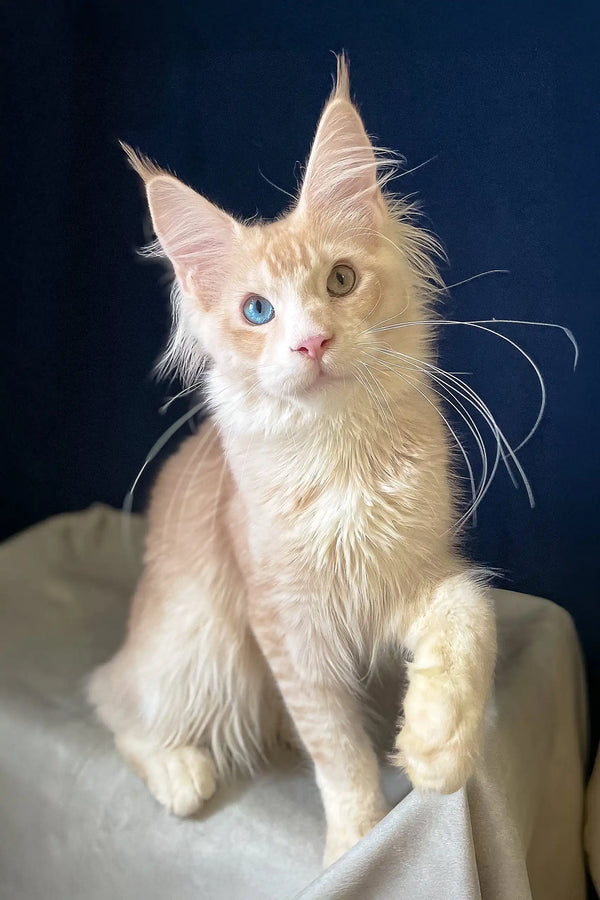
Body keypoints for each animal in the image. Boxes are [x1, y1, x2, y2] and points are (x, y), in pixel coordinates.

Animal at [88, 54, 496, 864]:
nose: (311, 342)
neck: (344, 465)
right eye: (258, 312)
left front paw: (437, 742)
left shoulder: (415, 576)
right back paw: (182, 772)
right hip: (203, 645)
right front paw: (357, 845)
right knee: (115, 701)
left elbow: (472, 615)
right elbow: (337, 749)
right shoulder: (290, 630)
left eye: (340, 281)